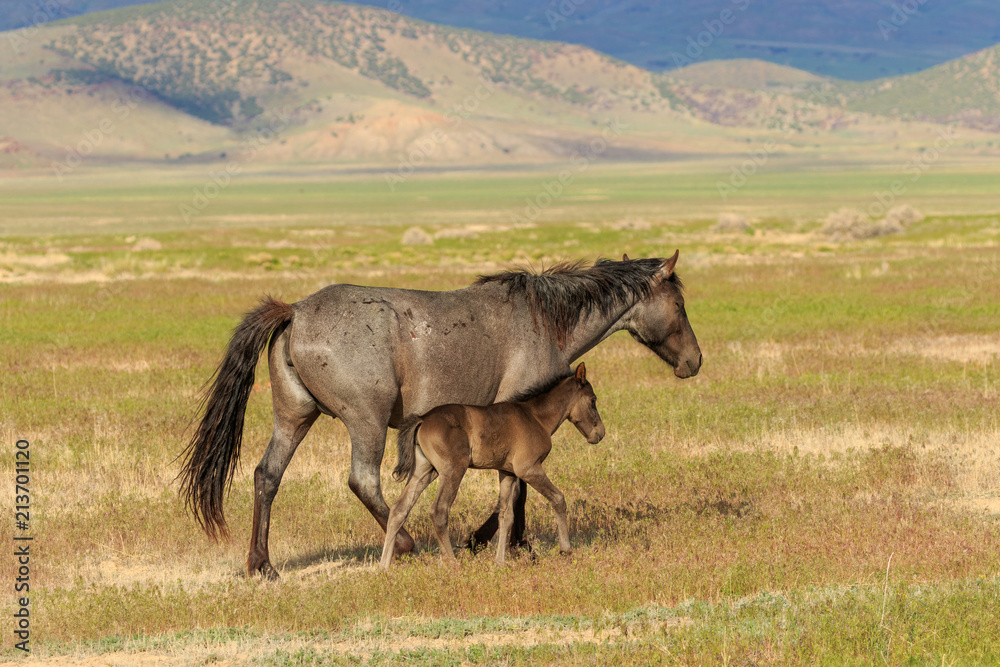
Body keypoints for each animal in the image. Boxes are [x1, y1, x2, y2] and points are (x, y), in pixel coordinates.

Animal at [380, 362, 604, 569]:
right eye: (593, 400)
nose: (600, 434)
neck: (535, 417)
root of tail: (422, 419)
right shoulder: (529, 469)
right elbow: (558, 498)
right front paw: (565, 549)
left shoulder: (507, 472)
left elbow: (506, 515)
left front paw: (500, 562)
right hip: (453, 470)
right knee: (439, 511)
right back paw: (453, 563)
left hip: (424, 471)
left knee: (399, 509)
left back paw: (384, 566)